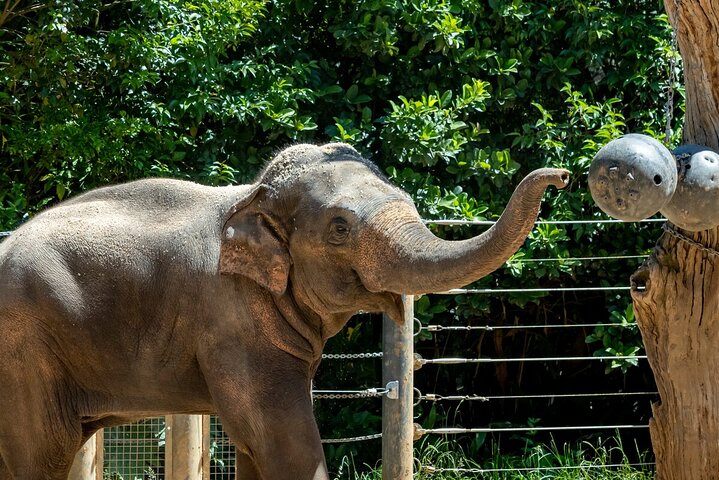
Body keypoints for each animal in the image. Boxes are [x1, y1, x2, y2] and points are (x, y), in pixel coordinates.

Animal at [0, 143, 572, 480]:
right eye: (340, 228)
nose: (563, 174)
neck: (251, 195)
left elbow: (255, 444)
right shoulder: (231, 320)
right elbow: (282, 440)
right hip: (26, 352)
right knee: (43, 453)